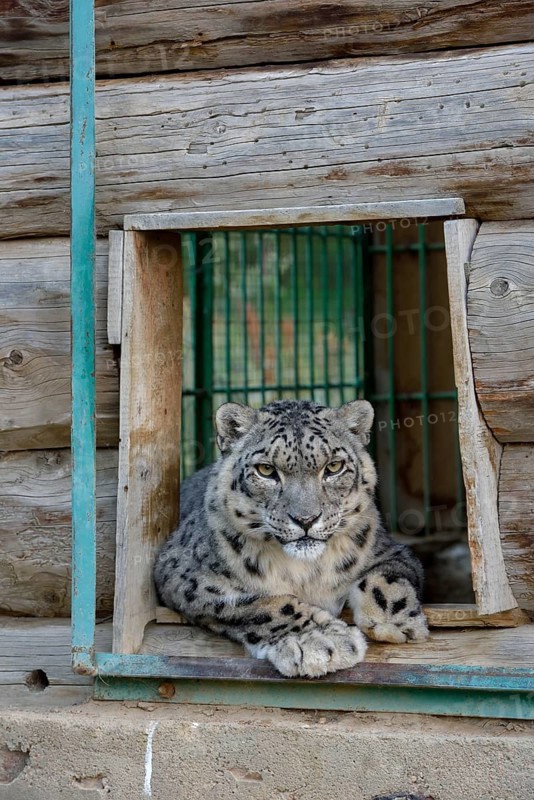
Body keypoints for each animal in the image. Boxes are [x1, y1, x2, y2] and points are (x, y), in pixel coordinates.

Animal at [154, 399, 429, 678]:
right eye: (266, 470)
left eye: (334, 467)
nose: (306, 519)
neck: (306, 572)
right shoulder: (187, 575)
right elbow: (260, 606)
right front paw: (318, 641)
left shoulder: (390, 549)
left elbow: (387, 578)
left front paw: (392, 621)